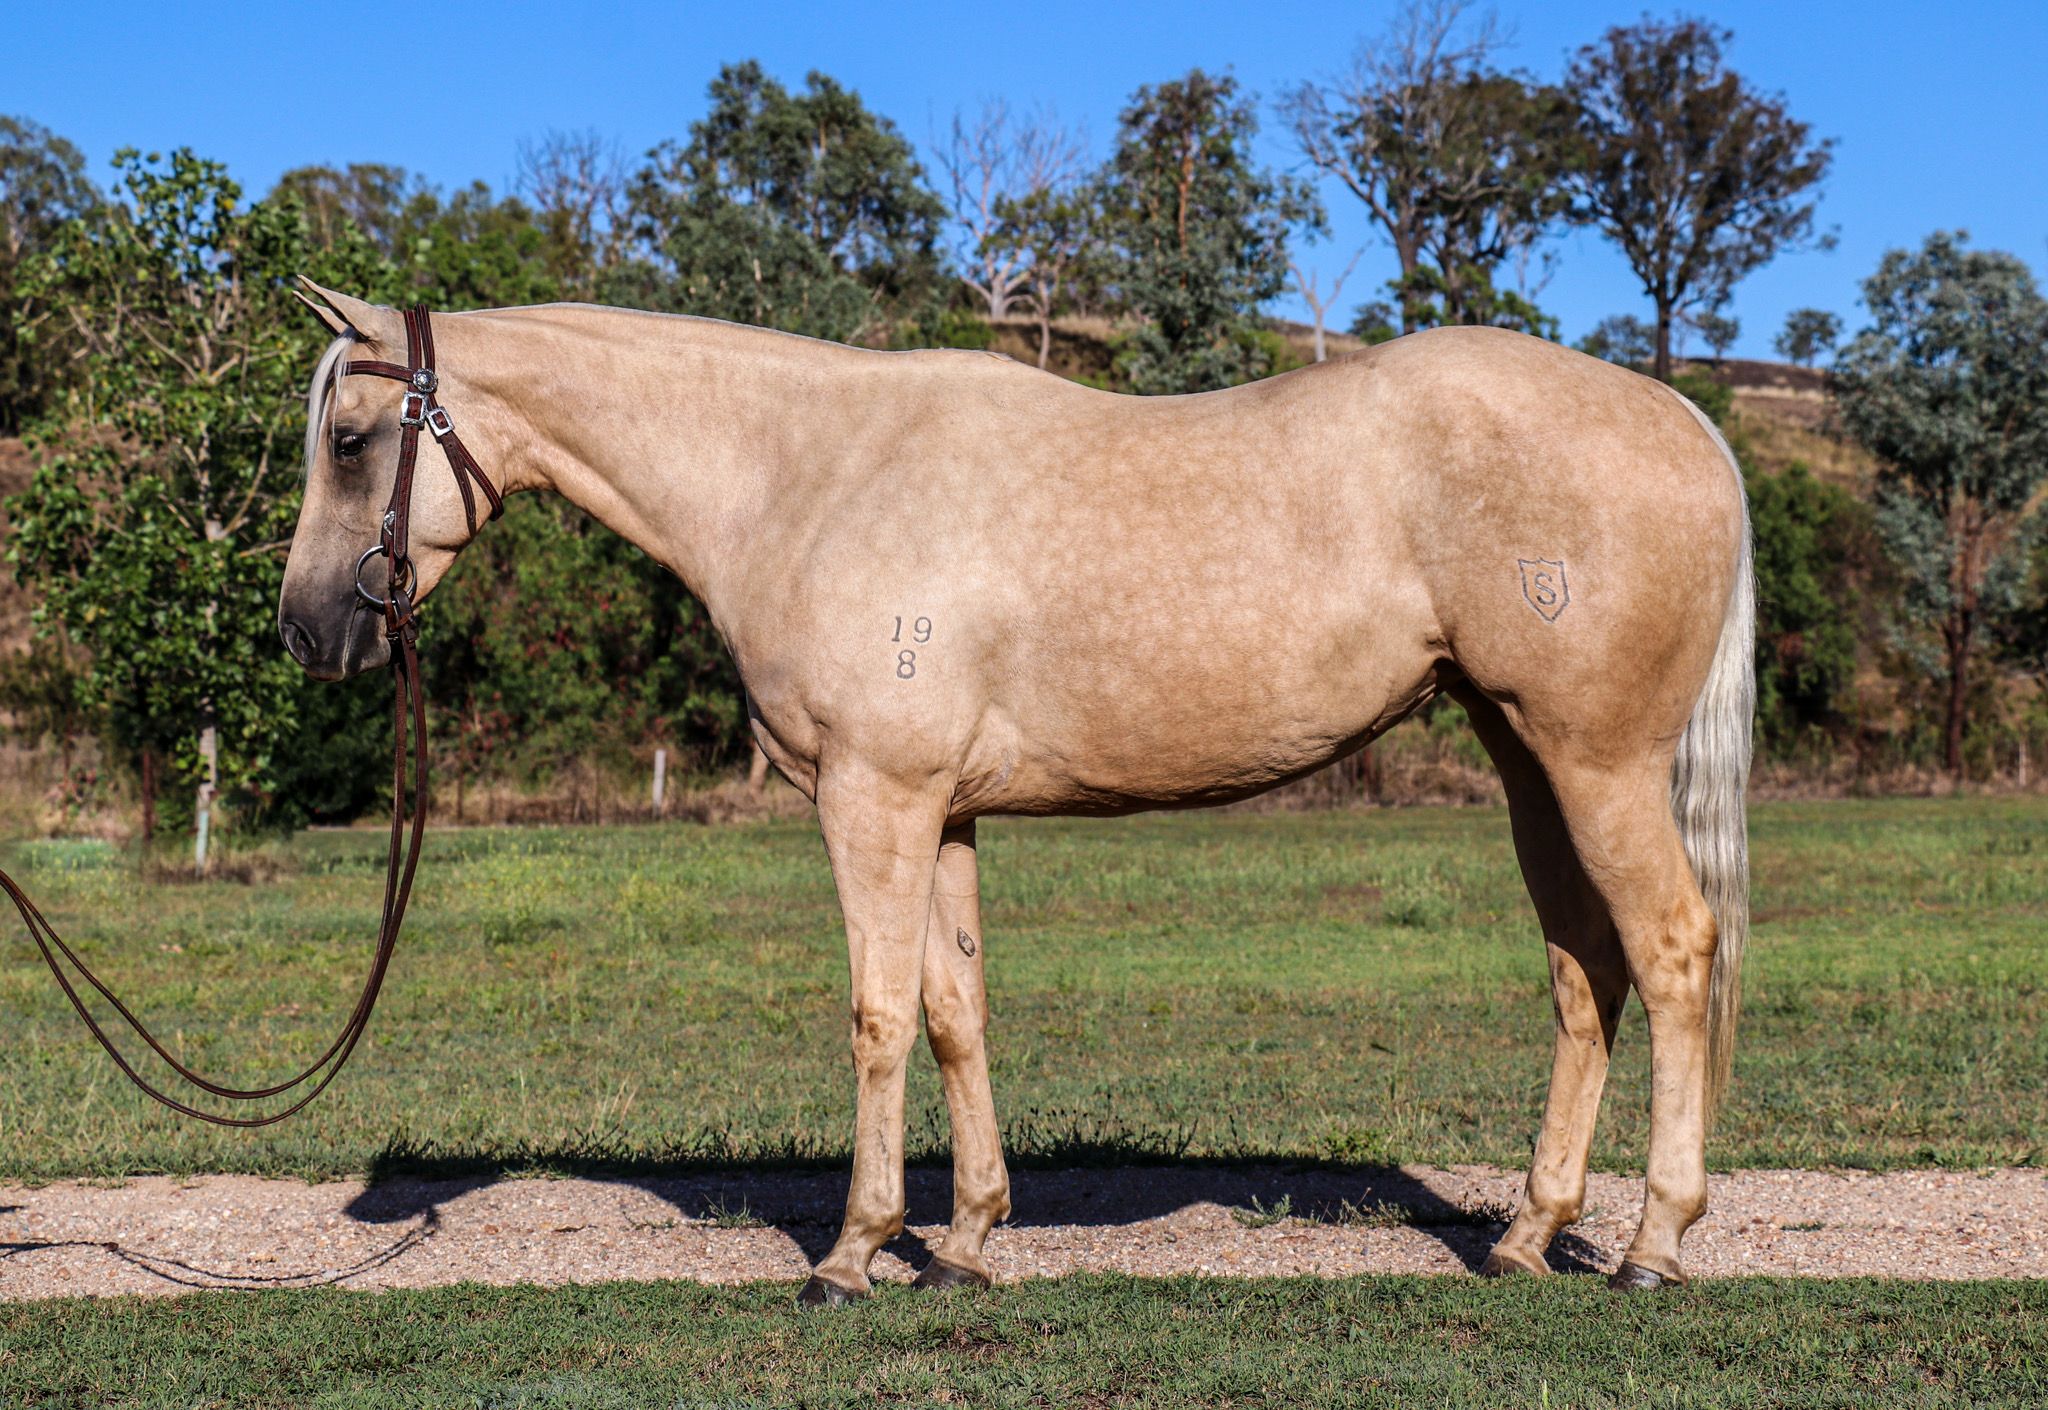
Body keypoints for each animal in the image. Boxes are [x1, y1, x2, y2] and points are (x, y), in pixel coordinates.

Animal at [279, 280, 1752, 1303]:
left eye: (350, 437)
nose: (308, 630)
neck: (804, 476)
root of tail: (1676, 417)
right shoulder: (941, 812)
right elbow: (954, 1014)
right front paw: (970, 1237)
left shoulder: (870, 802)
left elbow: (877, 1017)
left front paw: (852, 1253)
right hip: (1526, 759)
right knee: (1584, 971)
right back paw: (1526, 1234)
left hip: (1597, 763)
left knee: (1672, 951)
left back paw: (1651, 1244)